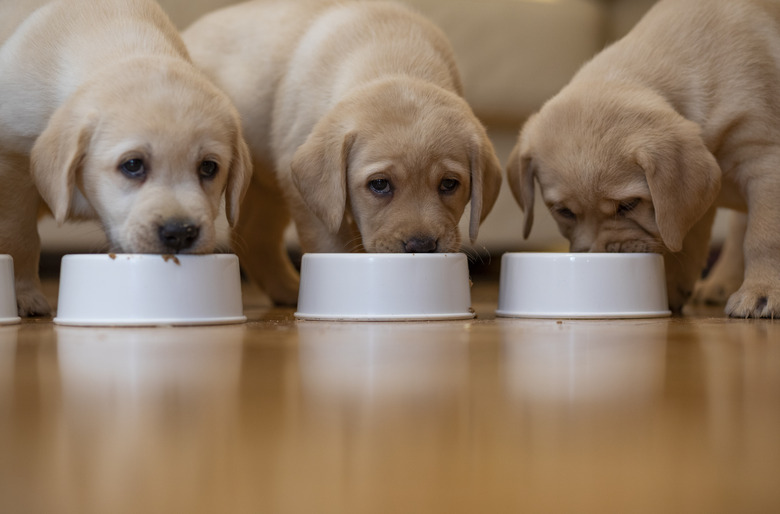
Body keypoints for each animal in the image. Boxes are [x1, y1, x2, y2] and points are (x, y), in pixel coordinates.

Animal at [0, 0, 250, 314]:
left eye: (208, 167)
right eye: (132, 165)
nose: (180, 233)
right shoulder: (13, 159)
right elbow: (20, 237)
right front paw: (24, 295)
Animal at [184, 0, 500, 304]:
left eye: (449, 184)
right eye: (379, 184)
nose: (421, 246)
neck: (394, 59)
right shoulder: (312, 199)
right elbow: (332, 245)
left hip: (266, 187)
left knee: (253, 235)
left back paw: (288, 291)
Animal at [506, 0, 780, 316]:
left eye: (628, 205)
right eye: (564, 212)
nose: (595, 256)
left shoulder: (764, 161)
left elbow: (763, 236)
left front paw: (761, 292)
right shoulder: (693, 200)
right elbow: (684, 240)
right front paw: (671, 288)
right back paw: (718, 284)